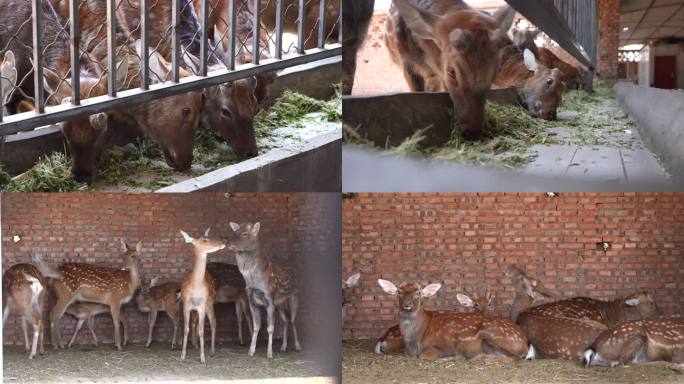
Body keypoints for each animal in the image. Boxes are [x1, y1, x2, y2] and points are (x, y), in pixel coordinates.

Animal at [179, 228, 227, 364]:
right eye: (205, 239)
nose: (223, 242)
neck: (195, 287)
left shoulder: (202, 305)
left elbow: (201, 330)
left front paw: (202, 358)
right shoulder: (186, 305)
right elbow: (186, 328)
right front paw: (182, 356)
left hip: (210, 302)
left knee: (213, 321)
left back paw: (211, 351)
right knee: (195, 324)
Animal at [228, 222, 300, 360]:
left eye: (245, 233)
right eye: (234, 232)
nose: (228, 243)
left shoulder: (269, 298)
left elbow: (270, 328)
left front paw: (269, 353)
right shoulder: (251, 300)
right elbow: (256, 326)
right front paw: (251, 351)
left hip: (294, 296)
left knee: (293, 320)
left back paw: (298, 346)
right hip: (280, 304)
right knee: (286, 320)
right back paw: (283, 347)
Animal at [374, 280, 536, 360]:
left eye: (419, 292)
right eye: (398, 291)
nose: (407, 304)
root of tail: (526, 341)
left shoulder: (444, 345)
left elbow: (424, 356)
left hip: (493, 335)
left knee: (513, 358)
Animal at [384, 0, 512, 138]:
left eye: (496, 70)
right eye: (451, 72)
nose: (473, 132)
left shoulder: (438, 75)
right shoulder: (407, 64)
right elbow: (417, 90)